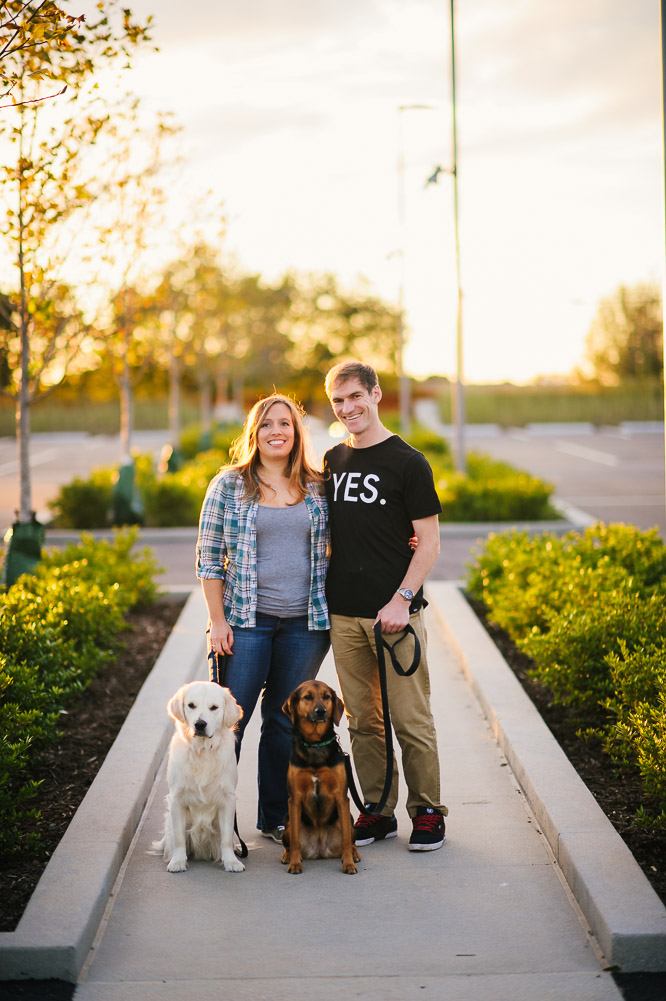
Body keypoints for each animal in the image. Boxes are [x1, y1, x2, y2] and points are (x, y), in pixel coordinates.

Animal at [282, 680, 360, 876]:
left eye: (326, 696)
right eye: (307, 697)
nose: (321, 711)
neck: (315, 744)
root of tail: (319, 849)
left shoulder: (342, 798)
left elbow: (346, 842)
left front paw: (348, 864)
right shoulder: (294, 800)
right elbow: (295, 841)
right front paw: (295, 863)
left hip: (348, 820)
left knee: (351, 842)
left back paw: (354, 854)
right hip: (287, 822)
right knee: (289, 842)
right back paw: (287, 855)